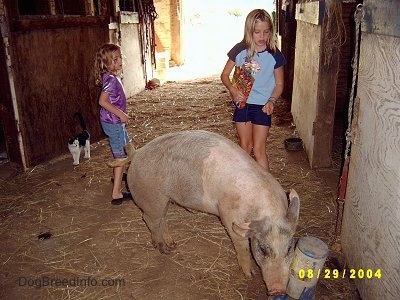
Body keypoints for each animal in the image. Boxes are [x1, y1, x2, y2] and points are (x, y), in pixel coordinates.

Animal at [109, 131, 300, 296]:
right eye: (262, 249)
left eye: (289, 248)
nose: (278, 291)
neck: (267, 212)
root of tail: (136, 154)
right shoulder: (228, 217)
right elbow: (242, 247)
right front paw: (249, 274)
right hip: (152, 199)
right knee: (149, 219)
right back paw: (164, 249)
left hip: (164, 200)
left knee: (162, 219)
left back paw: (172, 244)